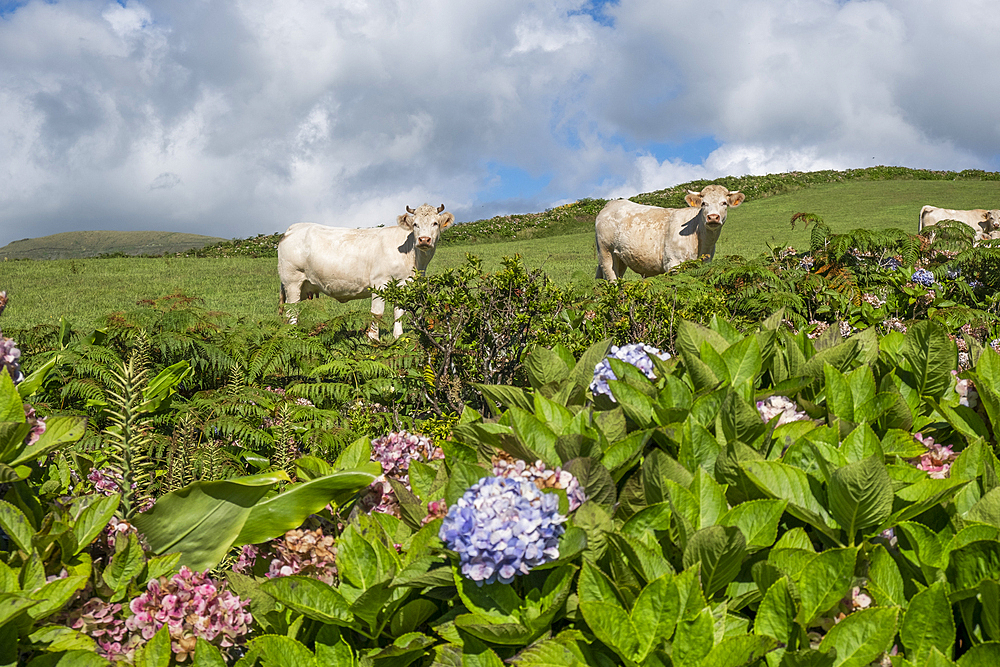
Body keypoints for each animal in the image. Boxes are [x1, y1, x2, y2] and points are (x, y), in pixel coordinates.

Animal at [280, 204, 456, 340]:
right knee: (291, 312)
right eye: (415, 225)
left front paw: (398, 337)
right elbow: (376, 313)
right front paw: (374, 339)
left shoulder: (404, 286)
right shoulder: (380, 283)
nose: (424, 240)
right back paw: (293, 338)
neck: (414, 259)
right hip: (292, 282)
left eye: (435, 223)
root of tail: (294, 228)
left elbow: (399, 312)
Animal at [592, 184, 744, 280]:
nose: (712, 217)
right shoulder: (674, 264)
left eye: (724, 203)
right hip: (606, 252)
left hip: (620, 257)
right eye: (703, 203)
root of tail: (611, 204)